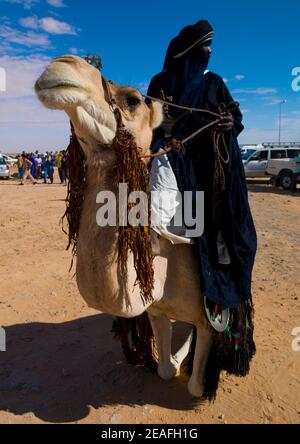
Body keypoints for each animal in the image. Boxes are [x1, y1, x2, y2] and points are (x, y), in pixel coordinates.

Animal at [35, 55, 212, 398]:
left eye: (133, 100)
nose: (62, 64)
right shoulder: (156, 310)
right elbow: (166, 369)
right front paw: (176, 356)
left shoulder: (211, 316)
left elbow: (197, 386)